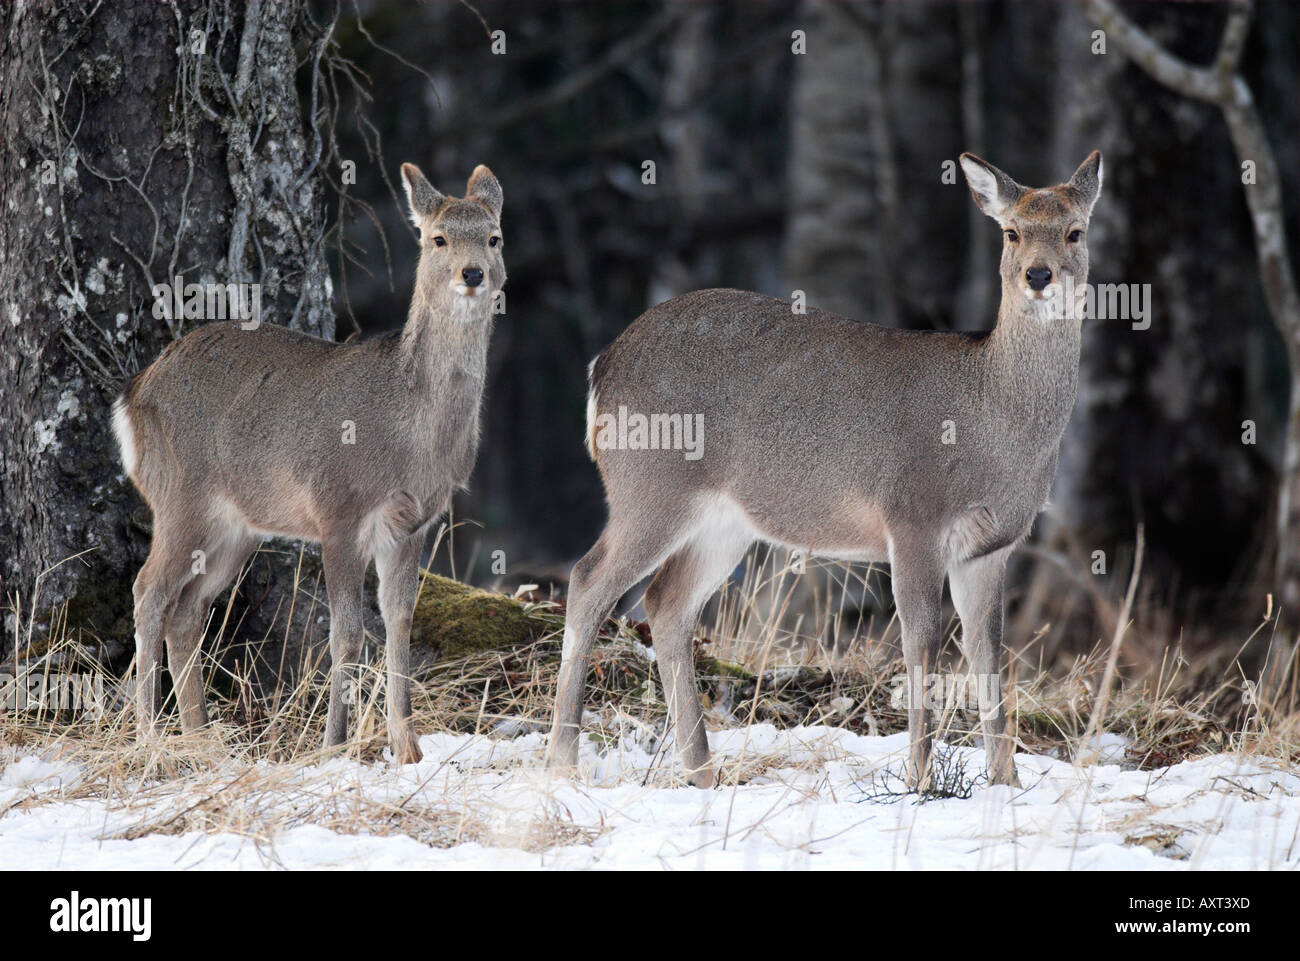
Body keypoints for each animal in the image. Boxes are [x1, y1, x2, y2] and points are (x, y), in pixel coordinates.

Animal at [114, 161, 504, 764]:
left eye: (494, 237)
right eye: (437, 237)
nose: (473, 273)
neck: (412, 434)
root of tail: (133, 395)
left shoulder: (414, 522)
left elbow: (400, 624)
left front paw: (408, 749)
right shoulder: (337, 509)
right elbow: (345, 633)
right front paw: (334, 746)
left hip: (236, 527)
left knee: (186, 611)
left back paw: (203, 742)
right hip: (180, 497)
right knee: (147, 592)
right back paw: (150, 739)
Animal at [548, 150, 1107, 785]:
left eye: (1075, 231)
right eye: (1012, 232)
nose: (1038, 275)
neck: (995, 421)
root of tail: (600, 366)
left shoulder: (991, 547)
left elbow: (990, 658)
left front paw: (1005, 783)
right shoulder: (913, 518)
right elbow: (920, 647)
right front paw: (919, 781)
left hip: (724, 521)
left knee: (667, 603)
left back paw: (701, 771)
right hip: (649, 486)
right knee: (588, 580)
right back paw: (562, 760)